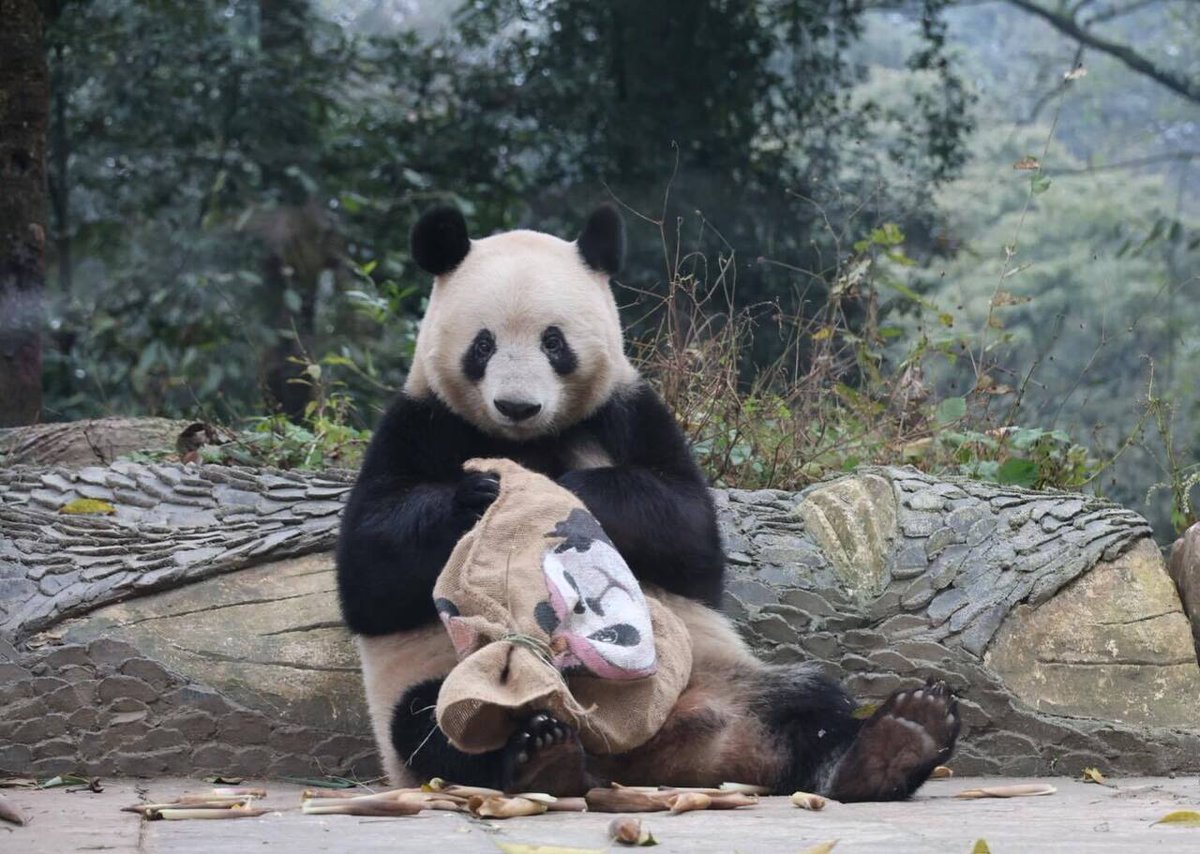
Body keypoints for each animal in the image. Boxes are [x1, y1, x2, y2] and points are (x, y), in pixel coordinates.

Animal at [336, 203, 959, 800]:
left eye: (553, 342)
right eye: (483, 344)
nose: (517, 406)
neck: (527, 442)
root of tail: (637, 758)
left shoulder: (629, 410)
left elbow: (692, 537)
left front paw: (568, 489)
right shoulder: (420, 421)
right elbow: (370, 572)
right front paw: (482, 493)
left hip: (718, 672)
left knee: (804, 701)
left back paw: (893, 743)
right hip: (460, 679)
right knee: (433, 722)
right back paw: (541, 756)